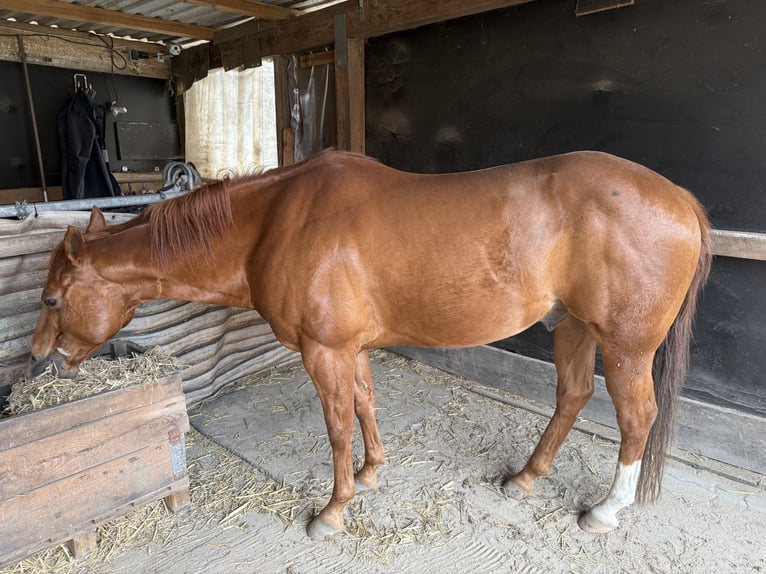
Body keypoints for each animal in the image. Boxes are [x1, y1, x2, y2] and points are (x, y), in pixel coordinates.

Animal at [28, 150, 711, 540]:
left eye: (52, 300)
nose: (38, 360)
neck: (274, 222)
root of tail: (680, 199)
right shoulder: (349, 349)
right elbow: (363, 406)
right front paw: (372, 471)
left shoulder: (323, 350)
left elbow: (335, 425)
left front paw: (333, 510)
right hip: (572, 328)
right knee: (571, 397)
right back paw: (525, 477)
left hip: (625, 346)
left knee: (637, 418)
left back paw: (605, 510)